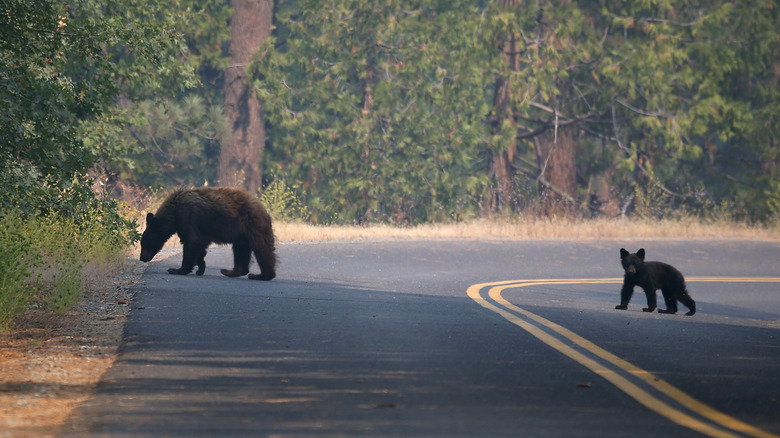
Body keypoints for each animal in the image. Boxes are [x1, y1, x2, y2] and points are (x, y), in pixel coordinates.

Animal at [139, 187, 276, 281]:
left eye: (145, 244)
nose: (142, 258)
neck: (174, 213)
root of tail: (263, 209)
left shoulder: (188, 217)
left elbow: (191, 242)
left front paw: (177, 269)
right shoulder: (200, 231)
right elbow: (200, 246)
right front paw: (200, 267)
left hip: (253, 225)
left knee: (262, 249)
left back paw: (261, 275)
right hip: (242, 234)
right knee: (240, 249)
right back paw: (231, 271)